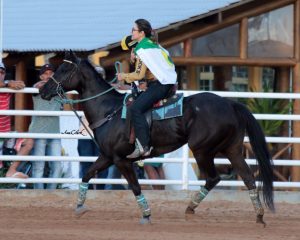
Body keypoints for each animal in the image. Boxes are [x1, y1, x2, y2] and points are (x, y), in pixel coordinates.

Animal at [39, 50, 274, 225]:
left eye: (64, 69)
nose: (43, 91)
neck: (109, 110)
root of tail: (231, 104)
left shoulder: (121, 160)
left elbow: (135, 186)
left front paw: (146, 215)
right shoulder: (107, 156)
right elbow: (87, 175)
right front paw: (79, 207)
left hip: (202, 150)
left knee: (213, 178)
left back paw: (191, 208)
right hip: (232, 149)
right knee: (248, 177)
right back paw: (259, 215)